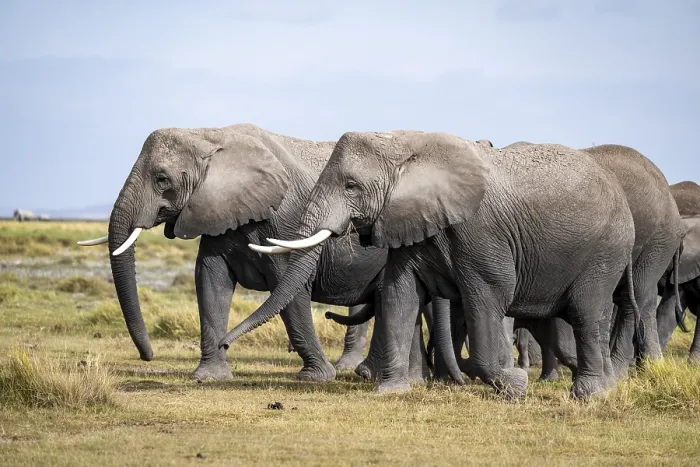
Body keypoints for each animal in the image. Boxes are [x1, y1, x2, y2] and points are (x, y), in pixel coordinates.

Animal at [222, 131, 640, 400]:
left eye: (351, 186)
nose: (225, 343)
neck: (404, 146)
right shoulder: (408, 221)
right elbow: (399, 295)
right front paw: (390, 390)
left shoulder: (480, 231)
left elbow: (487, 297)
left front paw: (515, 385)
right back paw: (605, 387)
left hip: (605, 250)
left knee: (587, 313)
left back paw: (590, 394)